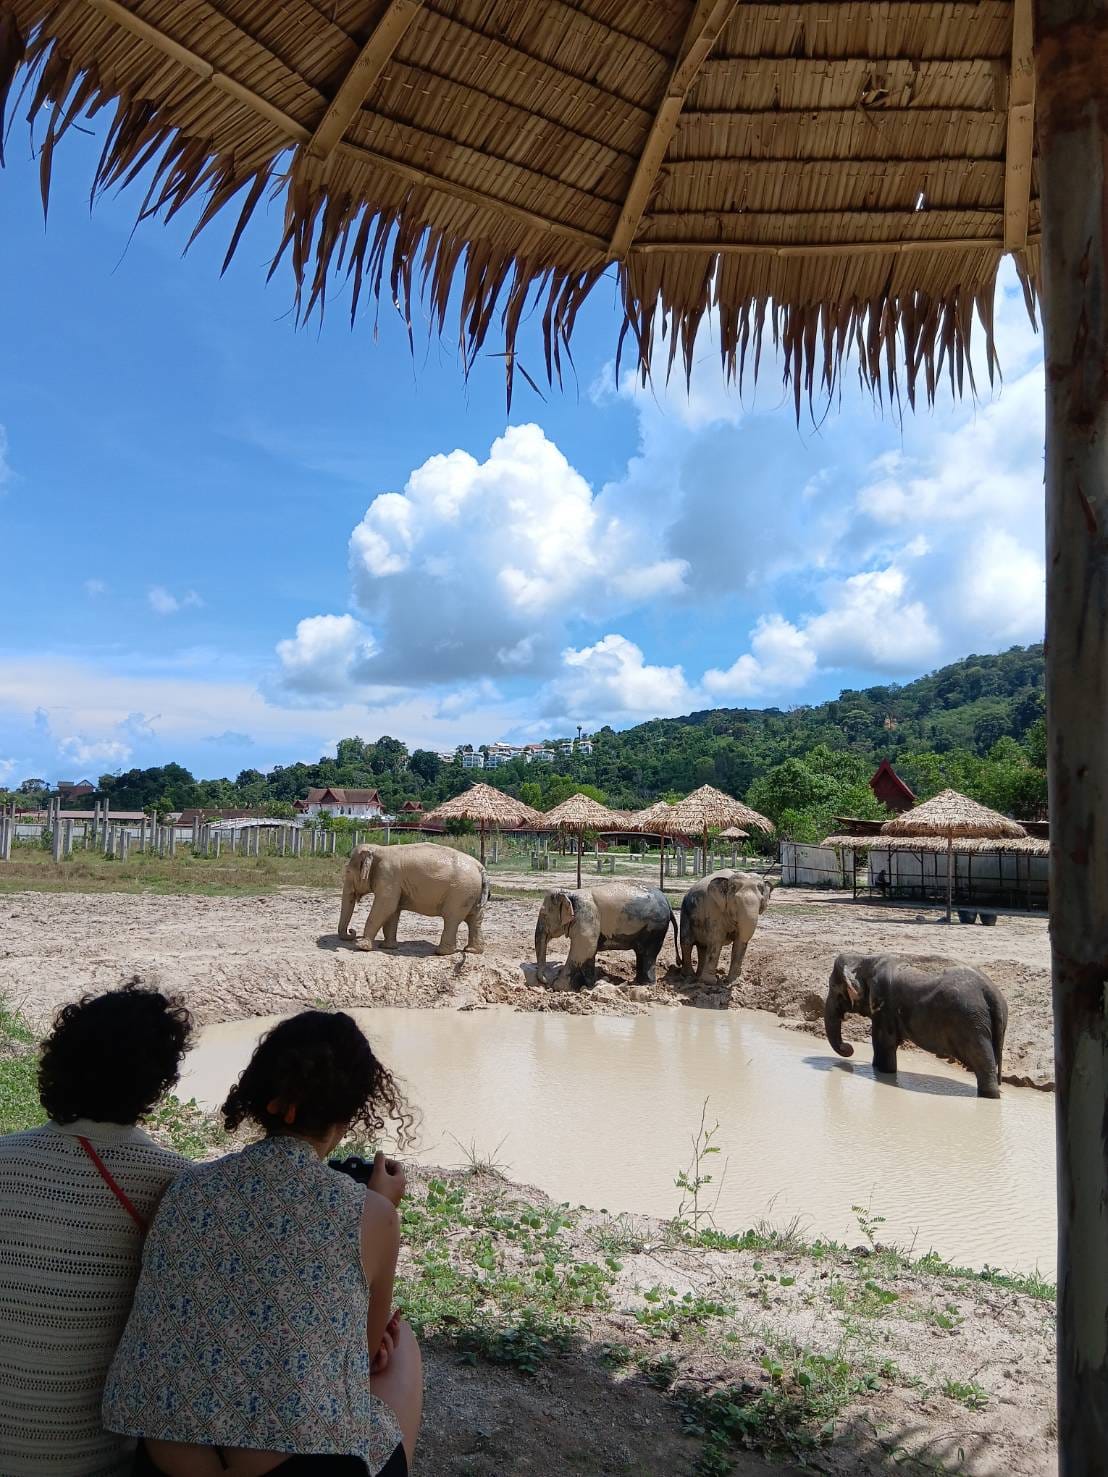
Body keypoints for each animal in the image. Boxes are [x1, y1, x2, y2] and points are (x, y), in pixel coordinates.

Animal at [339, 842, 489, 955]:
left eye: (348, 872)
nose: (352, 931)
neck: (378, 848)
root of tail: (480, 868)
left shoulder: (388, 876)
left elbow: (385, 907)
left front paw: (362, 946)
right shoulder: (394, 882)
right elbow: (393, 911)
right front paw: (388, 947)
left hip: (460, 892)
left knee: (451, 918)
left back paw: (441, 952)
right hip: (472, 893)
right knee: (474, 919)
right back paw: (472, 950)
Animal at [534, 883, 678, 990]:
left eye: (544, 915)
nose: (545, 982)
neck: (570, 893)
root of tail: (667, 901)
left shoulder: (587, 916)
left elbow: (583, 950)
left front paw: (558, 987)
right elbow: (588, 952)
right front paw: (589, 985)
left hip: (656, 927)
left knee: (649, 954)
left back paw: (647, 985)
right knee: (641, 953)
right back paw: (638, 982)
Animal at [824, 953, 1008, 1098]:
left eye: (832, 986)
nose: (848, 1048)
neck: (865, 958)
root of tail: (991, 992)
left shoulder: (884, 1004)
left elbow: (883, 1041)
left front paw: (883, 1072)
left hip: (972, 1024)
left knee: (982, 1060)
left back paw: (988, 1096)